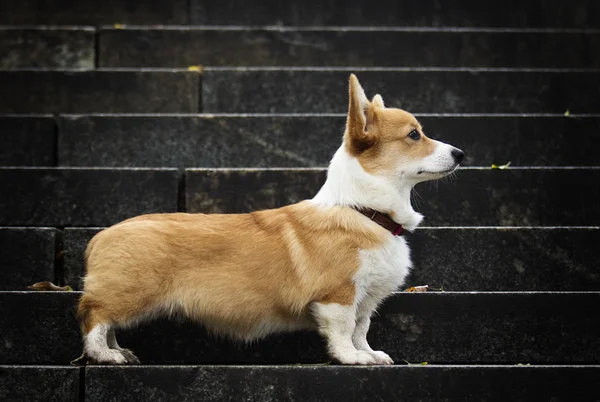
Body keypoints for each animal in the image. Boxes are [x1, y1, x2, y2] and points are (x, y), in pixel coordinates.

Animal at [76, 74, 464, 366]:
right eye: (414, 134)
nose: (461, 153)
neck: (363, 210)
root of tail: (100, 237)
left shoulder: (365, 298)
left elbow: (361, 328)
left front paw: (369, 353)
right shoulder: (338, 295)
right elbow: (343, 331)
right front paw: (352, 358)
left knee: (107, 323)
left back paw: (116, 349)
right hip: (130, 294)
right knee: (94, 316)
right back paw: (105, 355)